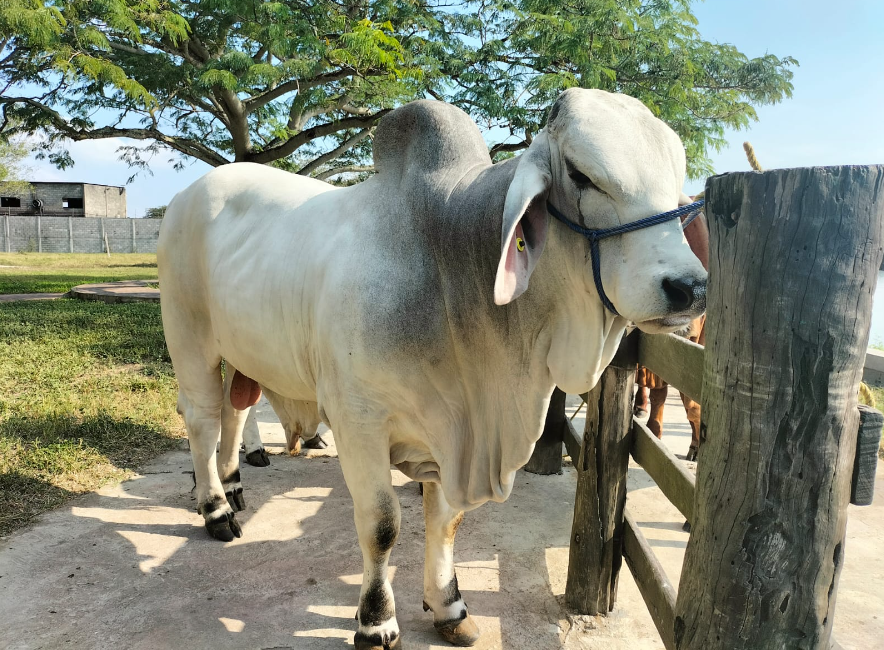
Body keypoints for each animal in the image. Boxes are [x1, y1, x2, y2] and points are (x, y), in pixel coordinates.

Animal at [159, 87, 708, 648]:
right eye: (580, 174)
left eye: (675, 182)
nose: (690, 287)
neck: (448, 263)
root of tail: (190, 193)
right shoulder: (359, 421)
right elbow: (382, 526)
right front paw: (376, 620)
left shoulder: (454, 427)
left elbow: (446, 522)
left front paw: (449, 607)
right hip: (189, 335)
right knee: (202, 419)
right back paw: (216, 509)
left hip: (242, 351)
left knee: (235, 412)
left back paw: (234, 487)